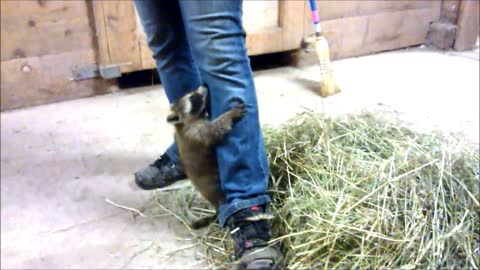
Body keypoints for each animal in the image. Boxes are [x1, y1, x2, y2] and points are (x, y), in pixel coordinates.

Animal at [167, 85, 246, 229]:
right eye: (192, 97)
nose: (203, 85)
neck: (182, 124)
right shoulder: (198, 132)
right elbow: (215, 130)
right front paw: (229, 114)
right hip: (215, 185)